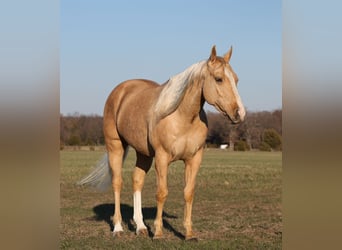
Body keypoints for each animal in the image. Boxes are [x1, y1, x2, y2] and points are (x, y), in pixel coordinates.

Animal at [79, 45, 246, 240]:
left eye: (236, 79)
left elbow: (188, 193)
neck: (182, 117)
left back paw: (141, 227)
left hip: (143, 154)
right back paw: (118, 228)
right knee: (117, 183)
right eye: (219, 79)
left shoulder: (194, 159)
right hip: (115, 147)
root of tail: (120, 90)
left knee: (137, 181)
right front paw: (158, 232)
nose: (240, 113)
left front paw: (189, 233)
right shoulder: (162, 158)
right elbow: (162, 193)